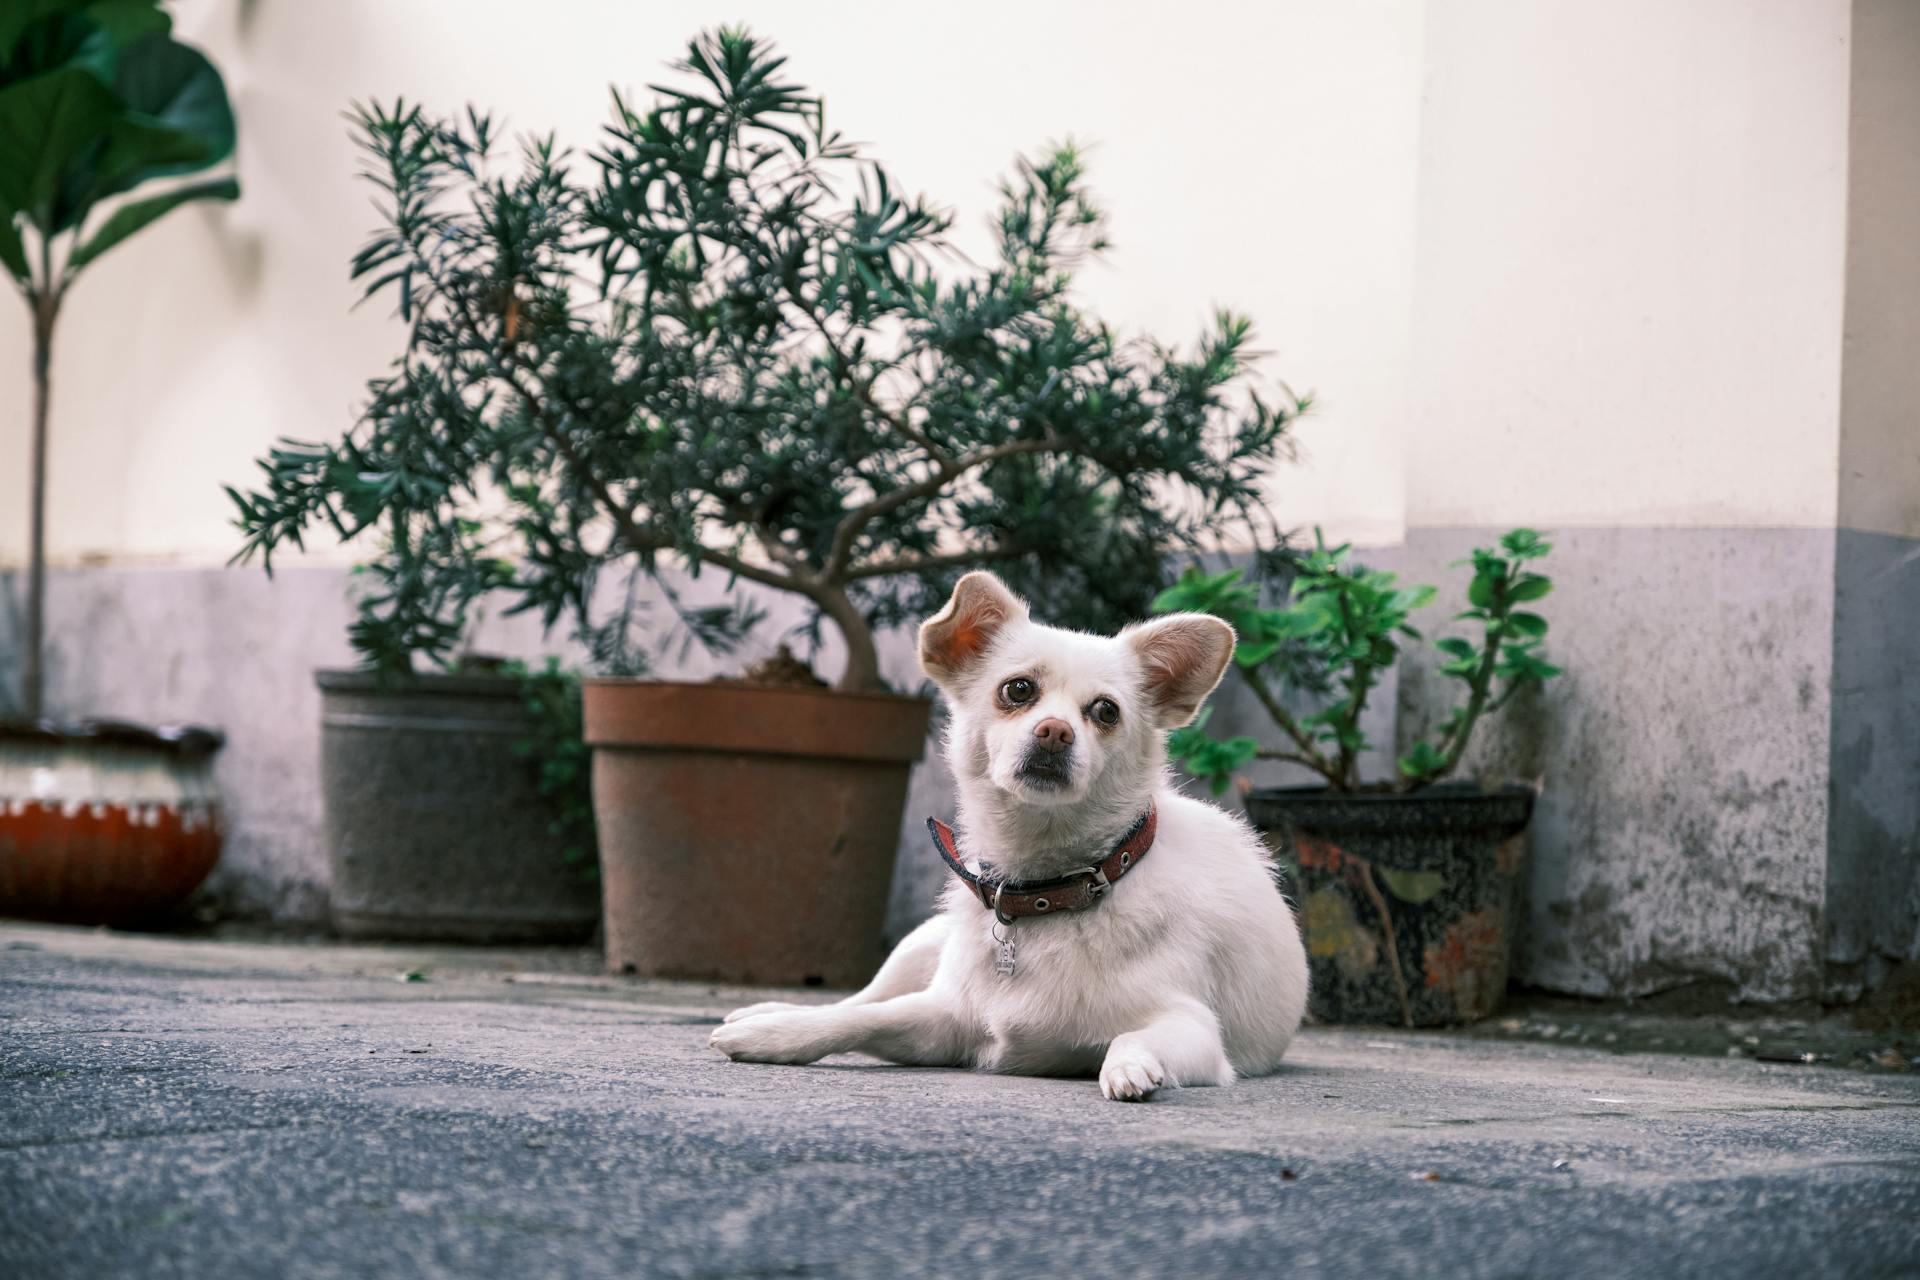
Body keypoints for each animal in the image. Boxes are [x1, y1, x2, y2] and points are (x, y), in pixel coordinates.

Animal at [714, 571, 1313, 1105]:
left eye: (1106, 711)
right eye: (1018, 689)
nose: (1055, 731)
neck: (1046, 893)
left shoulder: (1194, 1031)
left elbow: (1131, 1035)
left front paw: (1131, 1066)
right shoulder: (943, 1019)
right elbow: (860, 1019)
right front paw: (774, 1036)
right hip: (919, 946)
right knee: (861, 998)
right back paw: (766, 1011)